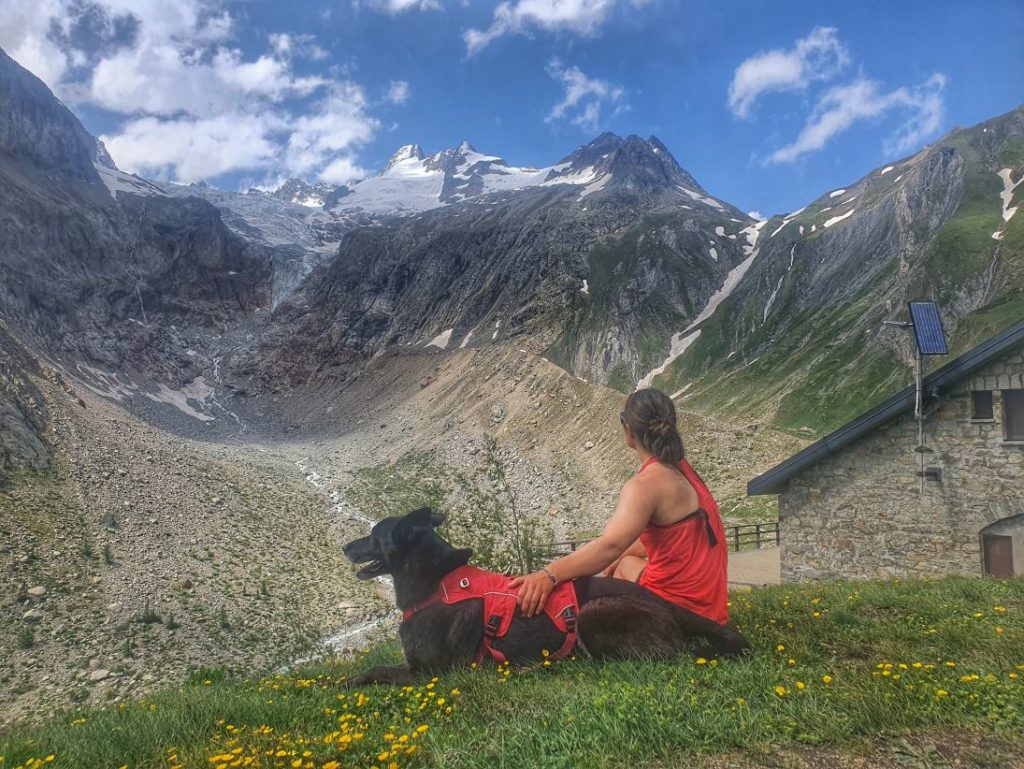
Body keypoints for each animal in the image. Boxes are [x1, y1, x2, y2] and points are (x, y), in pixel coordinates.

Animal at [339, 505, 749, 684]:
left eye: (372, 535)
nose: (344, 546)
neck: (435, 584)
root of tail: (665, 604)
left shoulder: (431, 675)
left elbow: (375, 669)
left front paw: (344, 681)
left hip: (592, 615)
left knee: (674, 655)